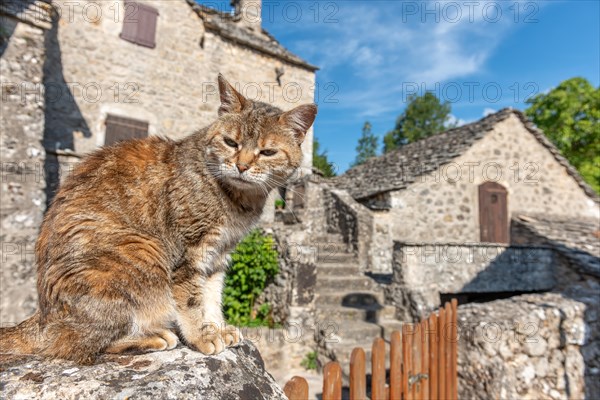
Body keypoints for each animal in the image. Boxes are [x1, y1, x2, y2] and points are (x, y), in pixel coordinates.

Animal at [0, 73, 318, 364]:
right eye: (231, 142)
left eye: (267, 152)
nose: (241, 166)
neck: (239, 201)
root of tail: (42, 319)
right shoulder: (188, 254)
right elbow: (192, 300)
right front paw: (203, 336)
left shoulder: (218, 254)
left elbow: (212, 296)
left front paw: (217, 327)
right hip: (141, 250)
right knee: (77, 344)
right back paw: (152, 336)